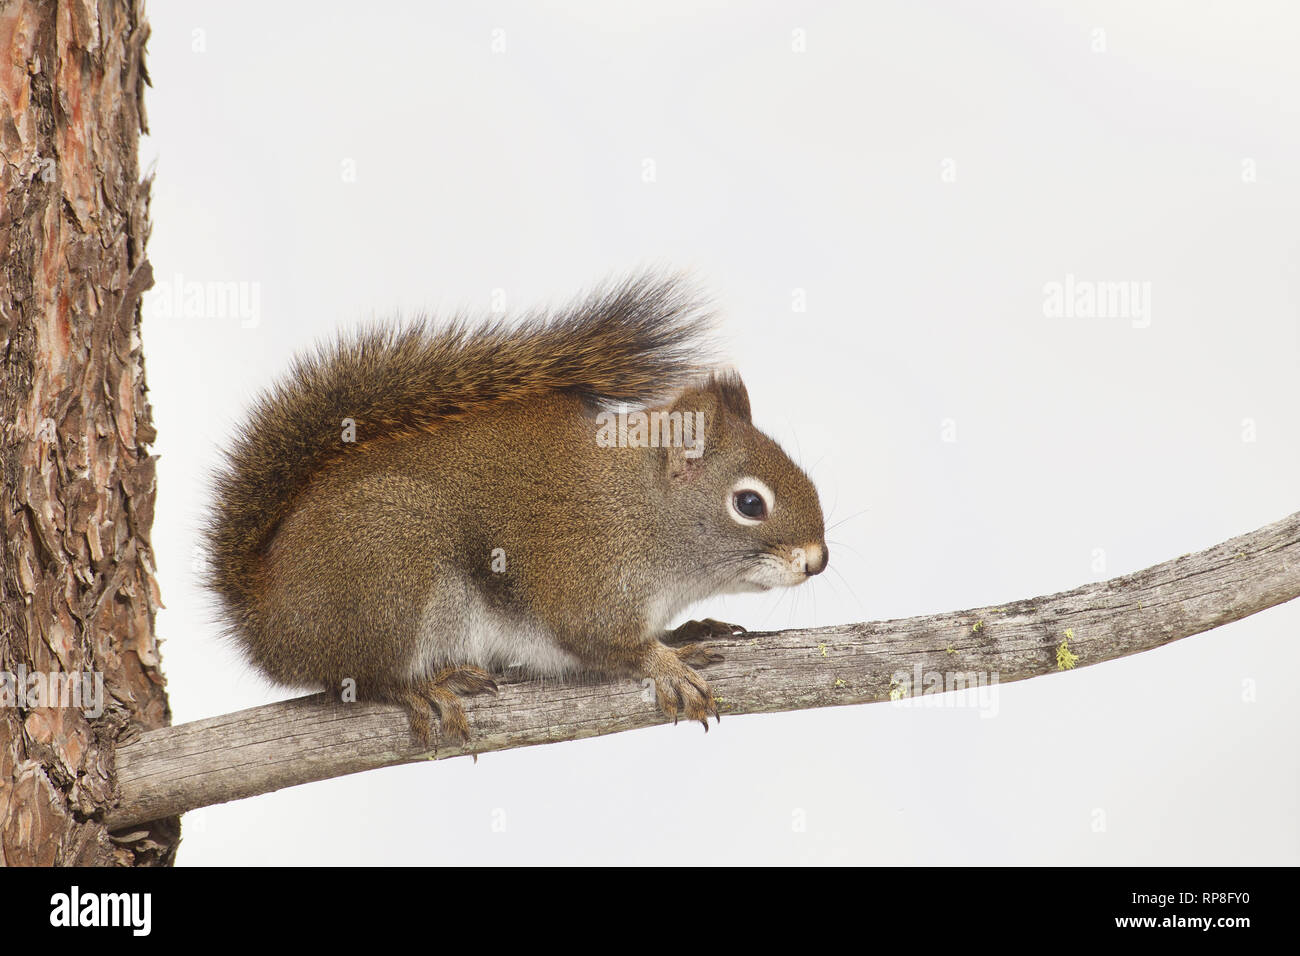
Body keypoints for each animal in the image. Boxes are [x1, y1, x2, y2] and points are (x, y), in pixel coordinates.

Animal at [205, 273, 827, 748]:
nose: (817, 561)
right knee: (360, 676)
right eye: (749, 503)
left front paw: (689, 631)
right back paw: (421, 687)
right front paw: (668, 667)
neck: (642, 510)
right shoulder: (587, 574)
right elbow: (606, 642)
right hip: (390, 569)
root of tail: (266, 619)